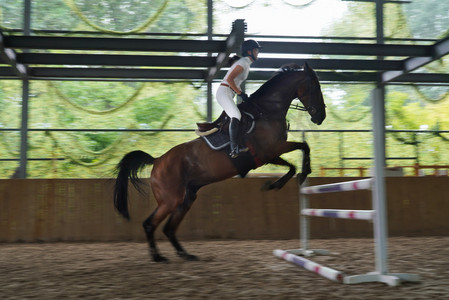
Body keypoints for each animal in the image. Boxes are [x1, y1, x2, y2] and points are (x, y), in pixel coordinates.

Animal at [114, 62, 326, 262]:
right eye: (315, 86)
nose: (321, 117)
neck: (267, 111)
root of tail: (157, 161)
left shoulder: (269, 155)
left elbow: (293, 163)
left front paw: (275, 184)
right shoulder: (271, 150)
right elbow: (303, 147)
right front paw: (299, 175)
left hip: (186, 198)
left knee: (169, 228)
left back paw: (185, 254)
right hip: (170, 200)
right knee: (150, 224)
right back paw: (158, 256)